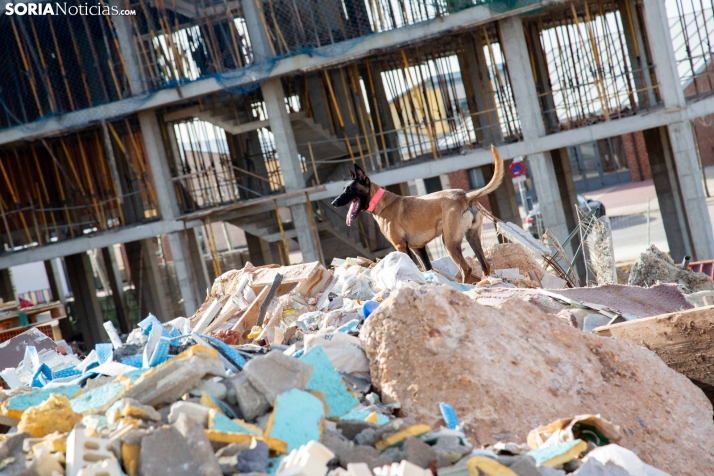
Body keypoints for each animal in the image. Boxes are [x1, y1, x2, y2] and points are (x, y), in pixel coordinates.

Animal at [330, 145, 504, 282]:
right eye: (344, 188)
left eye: (349, 189)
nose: (334, 203)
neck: (380, 201)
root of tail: (465, 195)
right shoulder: (419, 248)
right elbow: (427, 268)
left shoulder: (400, 246)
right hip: (472, 237)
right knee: (484, 264)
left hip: (449, 242)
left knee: (466, 269)